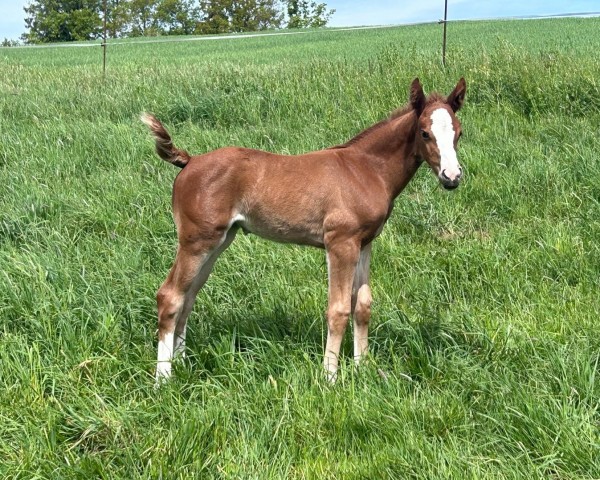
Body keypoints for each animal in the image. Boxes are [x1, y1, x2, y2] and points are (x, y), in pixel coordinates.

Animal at [143, 78, 466, 382]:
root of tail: (190, 161)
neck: (366, 169)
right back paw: (164, 379)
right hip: (196, 241)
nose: (452, 177)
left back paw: (182, 364)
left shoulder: (365, 243)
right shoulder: (340, 243)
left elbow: (362, 305)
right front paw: (330, 377)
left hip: (218, 241)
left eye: (459, 133)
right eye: (424, 133)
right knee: (170, 296)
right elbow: (338, 309)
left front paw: (363, 369)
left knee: (188, 297)